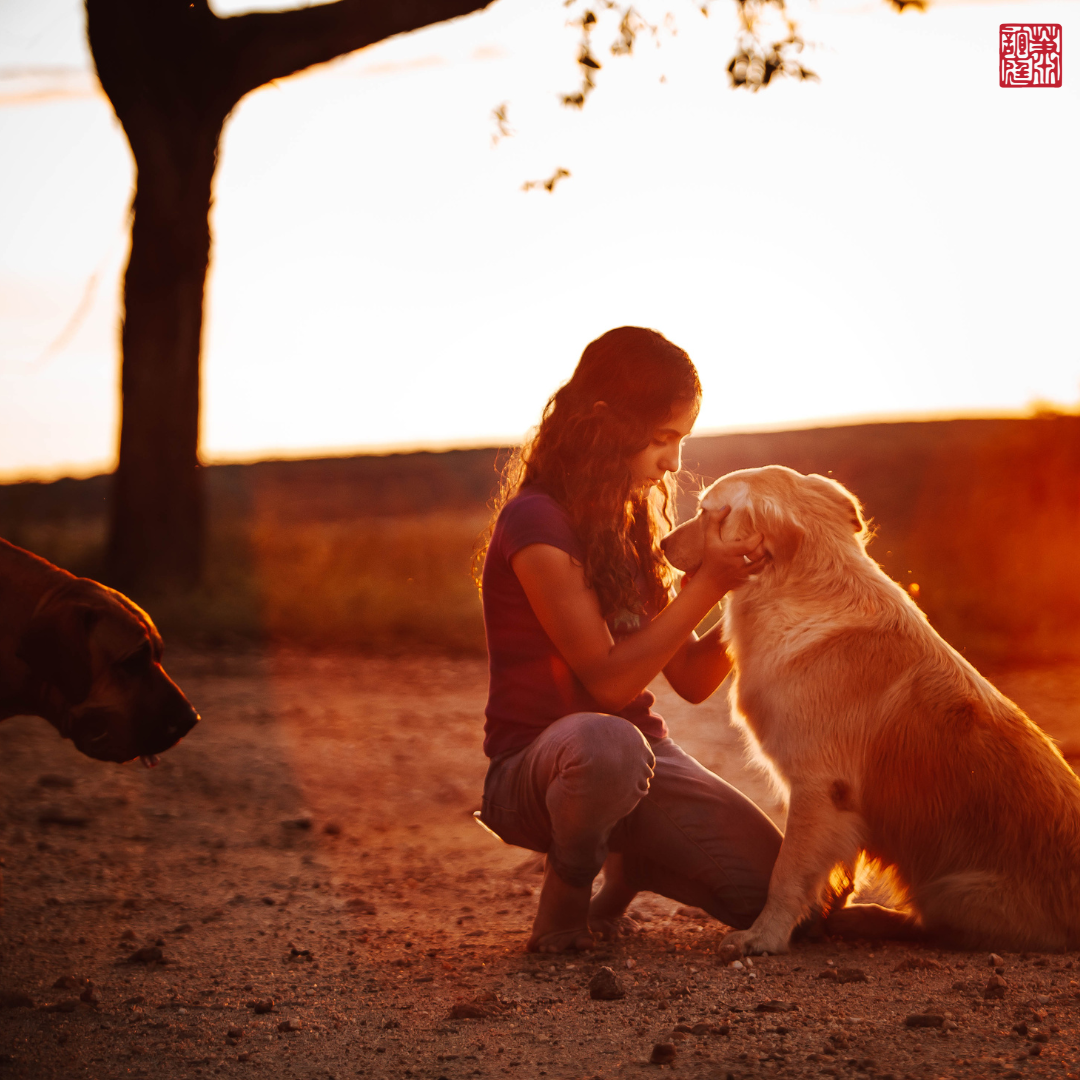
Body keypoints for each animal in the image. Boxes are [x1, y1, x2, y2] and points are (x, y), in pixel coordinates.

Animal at [660, 468, 1080, 959]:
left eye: (705, 511)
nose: (662, 544)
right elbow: (831, 874)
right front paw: (815, 919)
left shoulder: (819, 787)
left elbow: (786, 873)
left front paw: (764, 936)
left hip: (954, 890)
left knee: (932, 928)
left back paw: (871, 918)